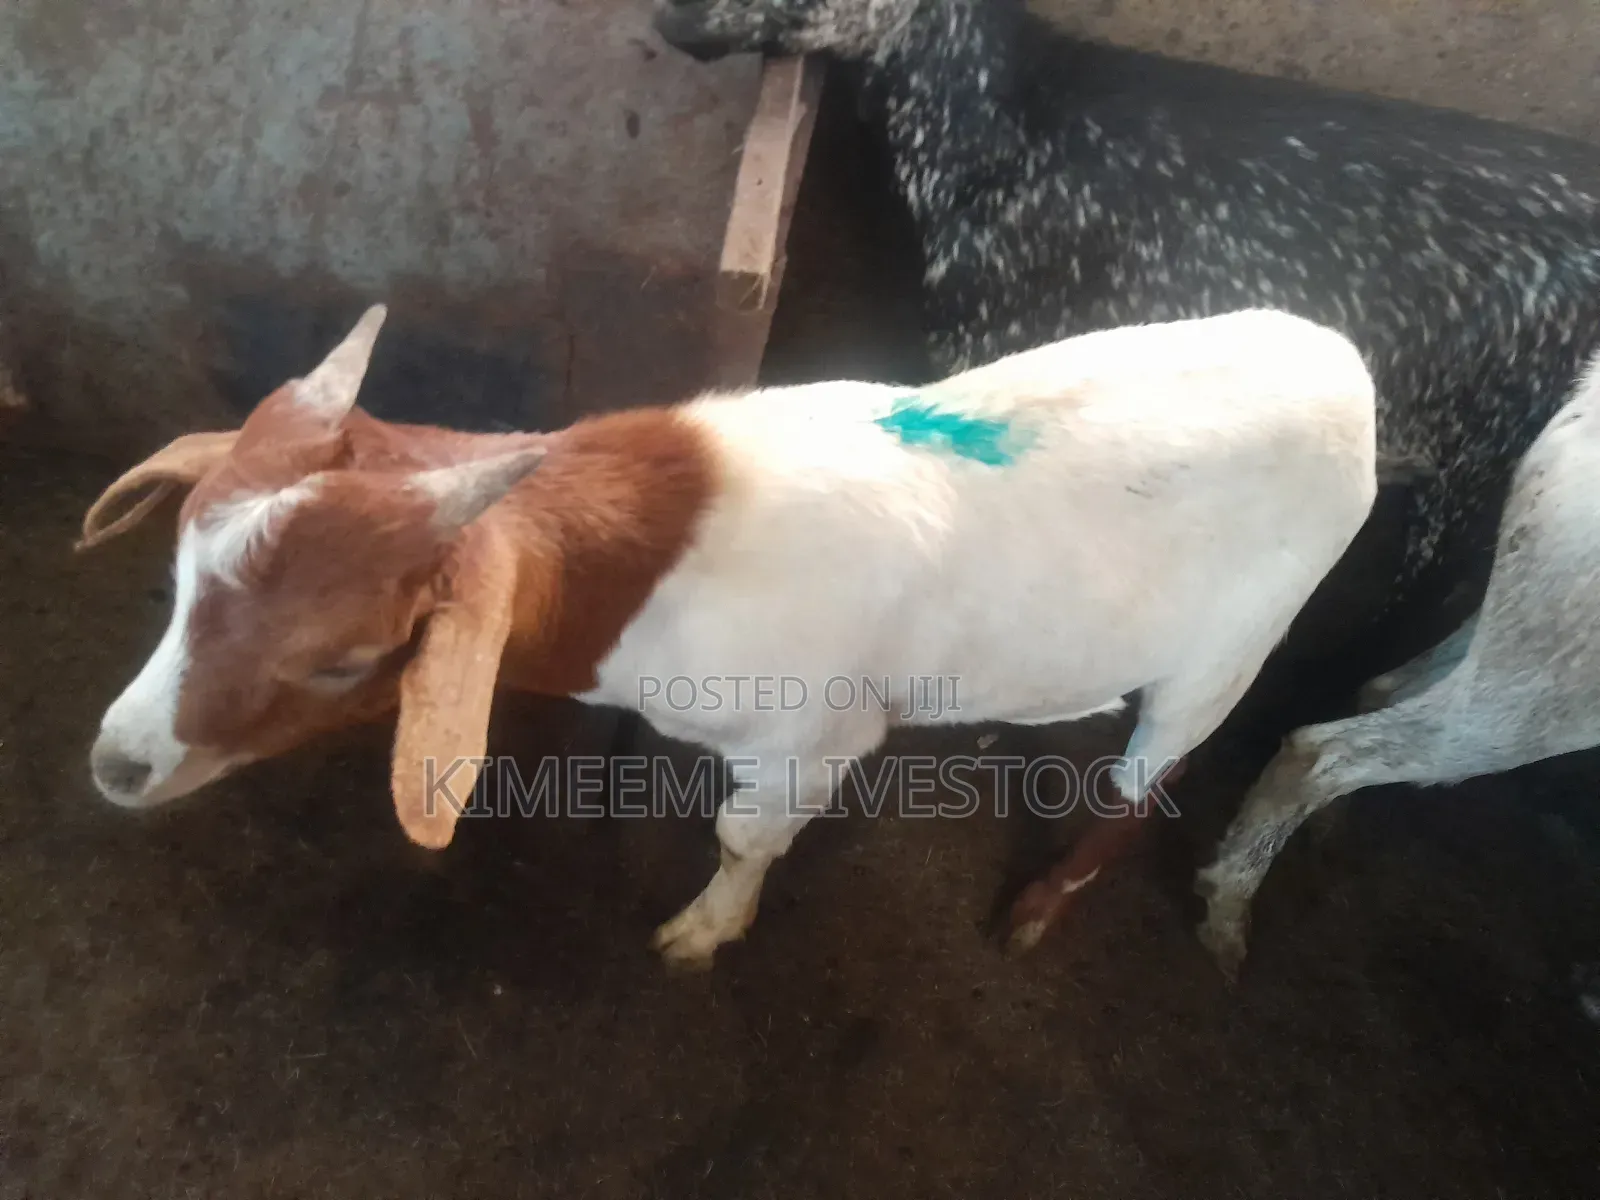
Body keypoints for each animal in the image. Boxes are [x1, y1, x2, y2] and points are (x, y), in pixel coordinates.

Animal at [79, 303, 1377, 969]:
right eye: (179, 579)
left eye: (344, 656)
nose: (117, 763)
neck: (650, 566)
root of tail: (1343, 364)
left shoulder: (814, 734)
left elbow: (747, 835)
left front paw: (704, 931)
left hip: (1232, 648)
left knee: (1149, 780)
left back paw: (1040, 908)